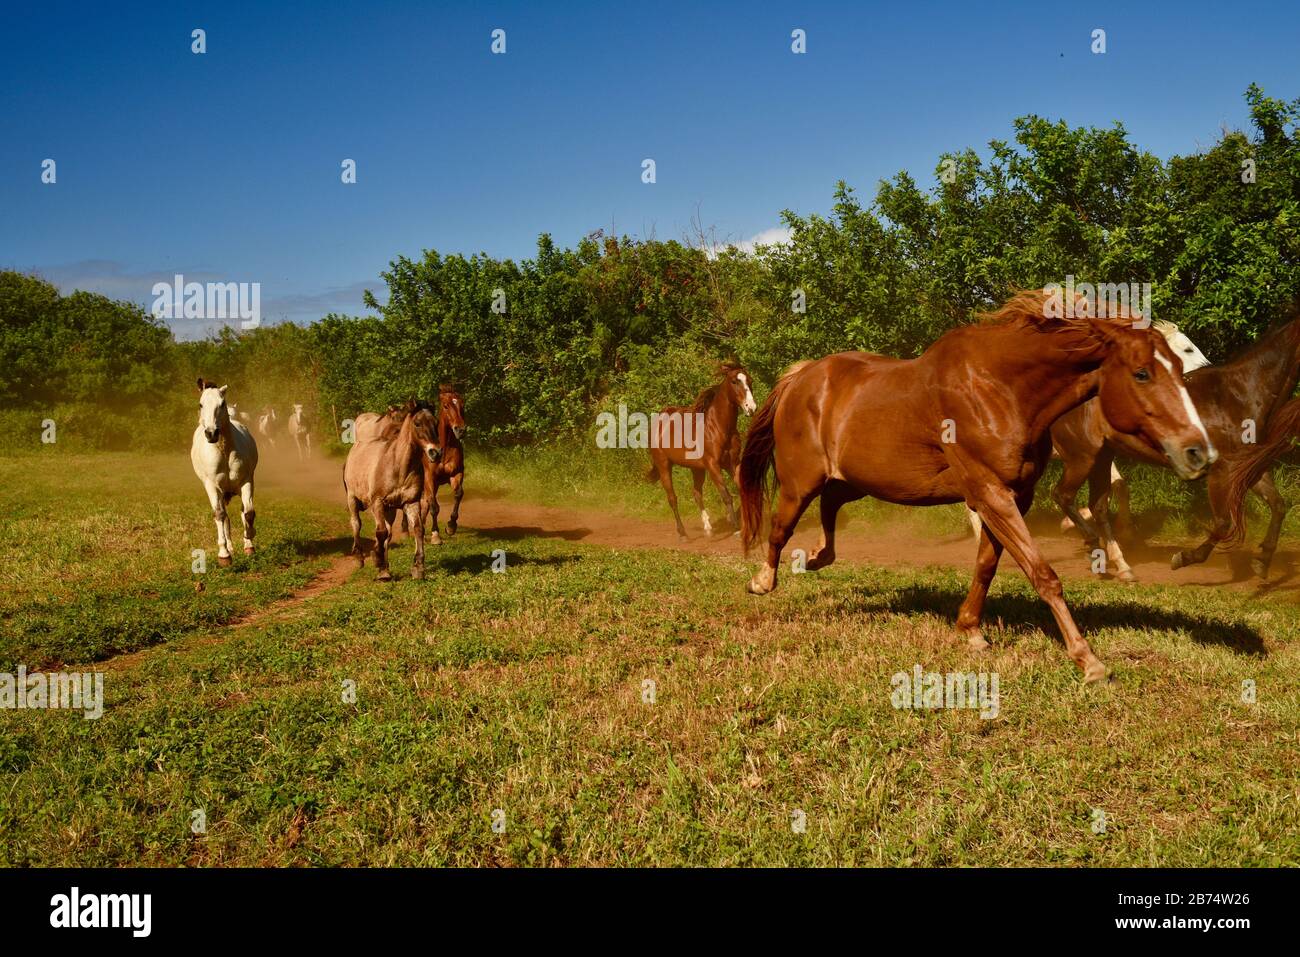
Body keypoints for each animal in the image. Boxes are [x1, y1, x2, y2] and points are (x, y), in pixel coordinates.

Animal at [190, 379, 259, 567]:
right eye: (201, 404)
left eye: (221, 404)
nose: (211, 433)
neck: (224, 449)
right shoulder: (212, 486)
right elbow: (220, 515)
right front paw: (224, 555)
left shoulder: (247, 481)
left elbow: (248, 512)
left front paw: (249, 540)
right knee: (224, 517)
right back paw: (229, 548)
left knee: (242, 511)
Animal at [342, 399, 442, 582]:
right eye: (417, 423)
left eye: (436, 423)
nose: (435, 452)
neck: (398, 466)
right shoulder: (377, 502)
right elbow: (380, 532)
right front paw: (380, 566)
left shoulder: (410, 502)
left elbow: (417, 529)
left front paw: (418, 568)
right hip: (352, 498)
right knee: (356, 524)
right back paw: (360, 558)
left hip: (390, 509)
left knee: (388, 532)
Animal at [645, 362, 756, 539]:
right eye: (734, 381)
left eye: (750, 380)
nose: (751, 408)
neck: (717, 427)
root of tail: (659, 420)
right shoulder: (713, 465)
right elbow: (726, 495)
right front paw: (736, 527)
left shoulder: (732, 463)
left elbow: (740, 489)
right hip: (664, 465)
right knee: (672, 498)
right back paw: (683, 534)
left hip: (696, 469)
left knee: (696, 494)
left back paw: (708, 528)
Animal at [1051, 308, 1300, 581]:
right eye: (1187, 349)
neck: (1238, 394)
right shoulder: (1220, 471)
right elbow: (1224, 522)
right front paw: (1184, 558)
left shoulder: (1250, 468)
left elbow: (1278, 506)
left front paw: (1262, 561)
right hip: (1081, 456)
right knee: (1062, 495)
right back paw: (1092, 545)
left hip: (1101, 458)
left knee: (1097, 505)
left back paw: (1122, 566)